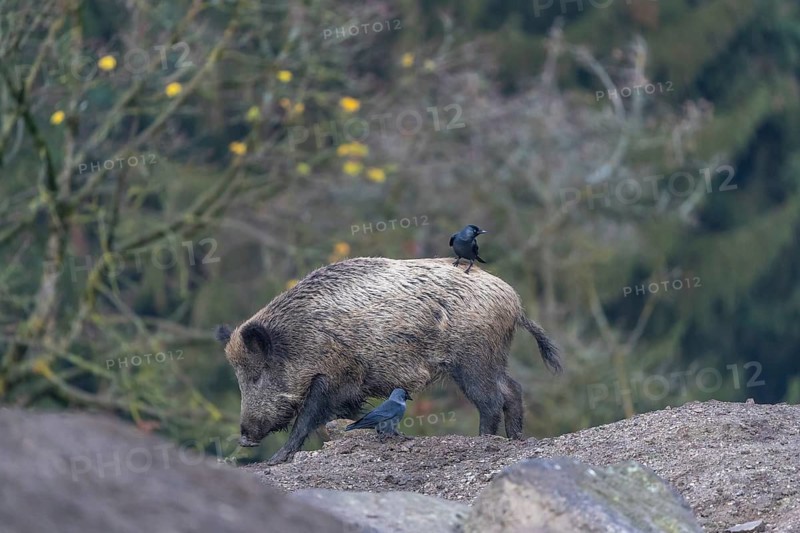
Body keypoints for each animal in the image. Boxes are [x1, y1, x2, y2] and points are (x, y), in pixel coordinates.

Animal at [215, 257, 561, 464]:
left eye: (257, 375)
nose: (245, 437)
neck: (299, 339)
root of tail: (514, 302)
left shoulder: (337, 376)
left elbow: (307, 417)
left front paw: (277, 459)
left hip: (472, 359)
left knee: (490, 400)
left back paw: (484, 440)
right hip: (491, 358)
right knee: (512, 389)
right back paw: (515, 438)